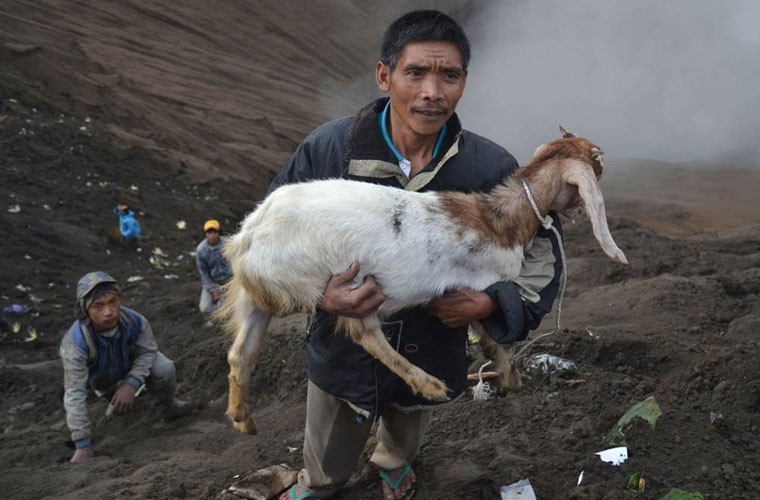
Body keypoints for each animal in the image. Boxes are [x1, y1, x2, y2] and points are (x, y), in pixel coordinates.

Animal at [217, 126, 628, 434]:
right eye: (597, 165)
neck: (501, 219)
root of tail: (249, 236)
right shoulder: (480, 285)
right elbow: (494, 336)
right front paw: (509, 378)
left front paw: (505, 378)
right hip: (347, 284)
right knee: (365, 335)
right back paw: (428, 384)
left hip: (256, 299)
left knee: (240, 352)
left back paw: (242, 418)